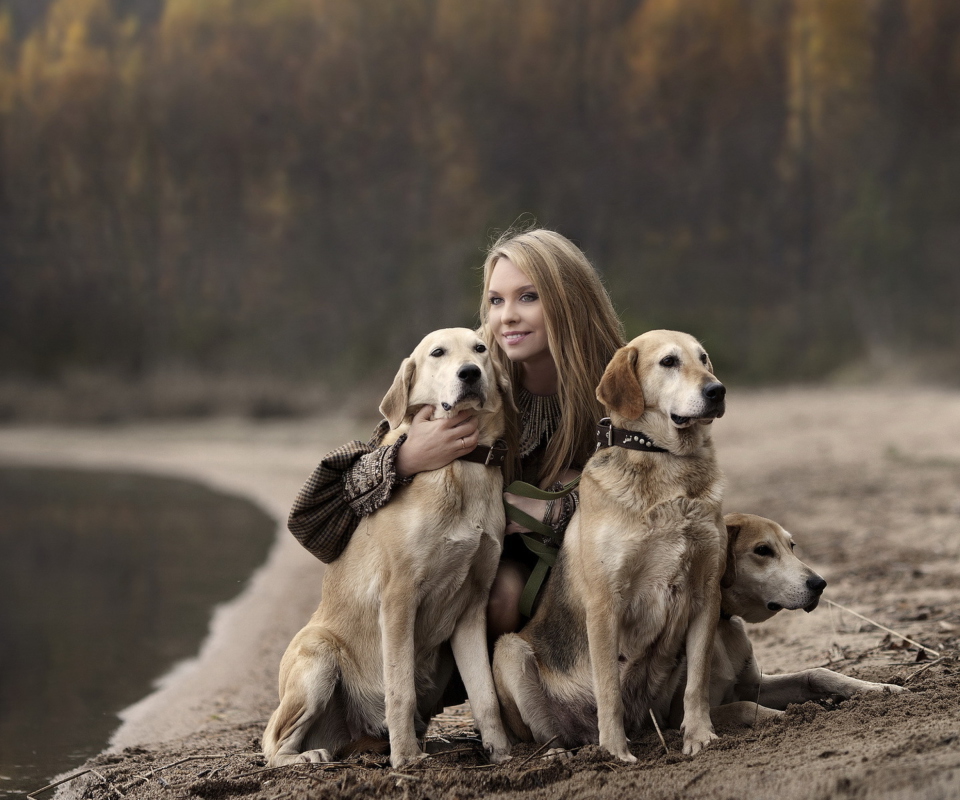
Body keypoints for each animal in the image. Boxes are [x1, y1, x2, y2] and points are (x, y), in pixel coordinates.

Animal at [262, 326, 512, 768]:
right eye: (437, 353)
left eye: (480, 349)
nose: (470, 373)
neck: (460, 467)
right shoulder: (399, 597)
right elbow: (400, 690)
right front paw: (407, 758)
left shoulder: (472, 608)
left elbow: (486, 697)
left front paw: (501, 753)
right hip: (319, 657)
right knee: (272, 744)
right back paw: (307, 757)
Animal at [496, 328, 728, 760]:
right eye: (669, 362)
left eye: (703, 358)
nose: (717, 390)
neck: (665, 461)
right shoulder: (606, 603)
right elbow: (608, 688)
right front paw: (616, 752)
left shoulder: (707, 593)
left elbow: (698, 681)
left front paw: (700, 735)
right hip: (509, 652)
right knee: (548, 732)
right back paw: (562, 755)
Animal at [668, 512, 908, 724]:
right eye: (762, 550)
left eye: (792, 546)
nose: (820, 584)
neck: (721, 624)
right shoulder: (676, 717)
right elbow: (743, 707)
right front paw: (794, 716)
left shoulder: (754, 686)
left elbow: (816, 673)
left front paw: (879, 688)